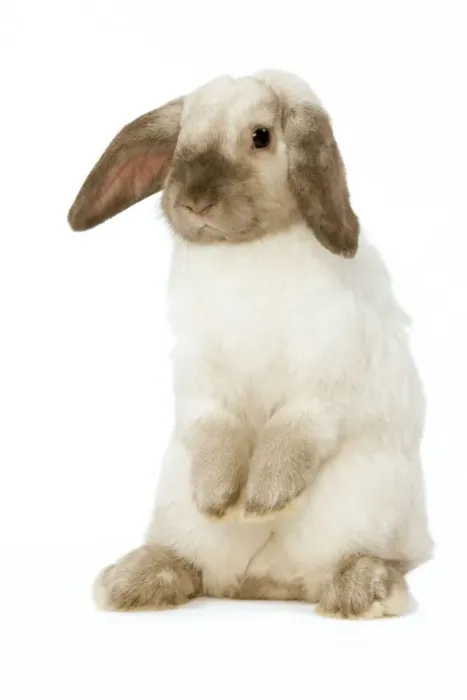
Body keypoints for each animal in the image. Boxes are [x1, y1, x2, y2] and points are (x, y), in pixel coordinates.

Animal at [68, 70, 433, 619]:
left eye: (261, 136)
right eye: (182, 137)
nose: (195, 201)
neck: (246, 251)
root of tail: (267, 583)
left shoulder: (324, 379)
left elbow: (293, 430)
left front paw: (263, 499)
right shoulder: (202, 381)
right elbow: (215, 430)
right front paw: (220, 500)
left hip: (367, 505)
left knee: (356, 560)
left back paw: (362, 589)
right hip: (180, 513)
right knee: (192, 565)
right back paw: (131, 582)